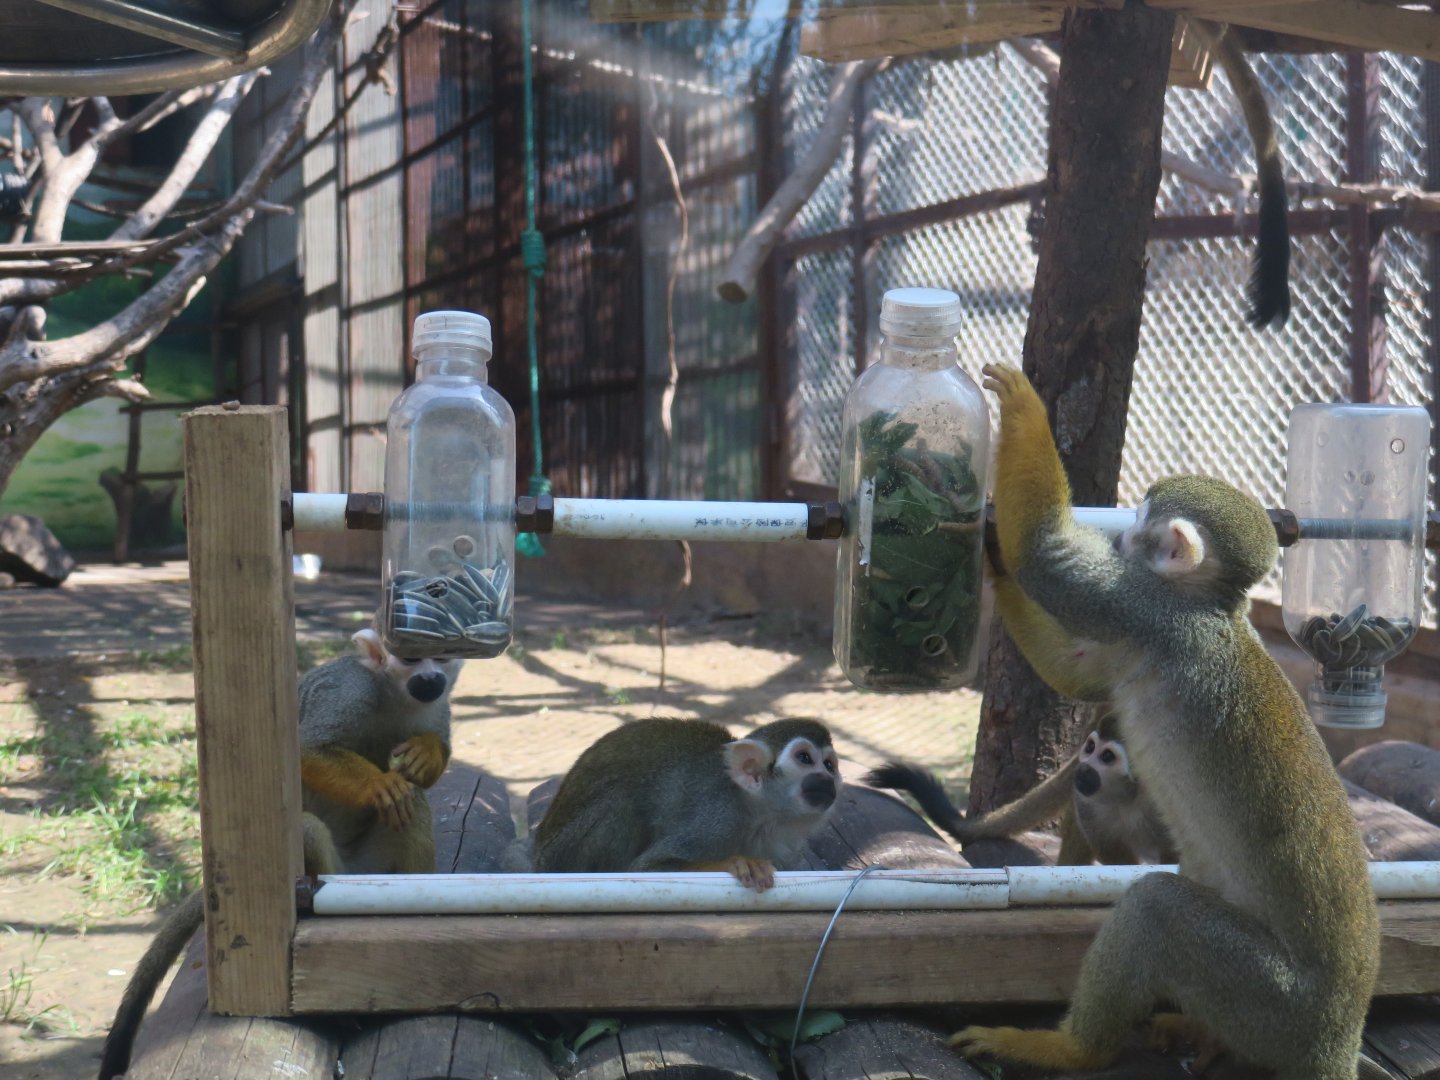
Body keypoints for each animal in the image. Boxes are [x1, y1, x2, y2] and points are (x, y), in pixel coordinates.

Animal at [99, 628, 461, 1080]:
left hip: (374, 868)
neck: (397, 696)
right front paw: (376, 785)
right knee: (308, 828)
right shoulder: (349, 691)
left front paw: (428, 752)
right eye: (410, 660)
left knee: (412, 807)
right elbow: (305, 749)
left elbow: (425, 772)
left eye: (443, 658)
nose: (431, 680)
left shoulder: (438, 707)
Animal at [525, 717, 839, 892]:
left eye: (828, 764)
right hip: (564, 854)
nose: (826, 779)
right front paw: (735, 863)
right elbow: (645, 870)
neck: (756, 811)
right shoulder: (716, 818)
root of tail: (539, 859)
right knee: (621, 800)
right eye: (804, 759)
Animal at [865, 711, 1176, 867]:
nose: (1084, 767)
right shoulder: (1087, 801)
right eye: (1090, 748)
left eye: (1108, 757)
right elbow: (1111, 853)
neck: (1128, 794)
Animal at [949, 365, 1378, 1080]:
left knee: (1157, 909)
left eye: (1138, 527)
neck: (1208, 607)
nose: (1120, 536)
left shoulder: (1146, 609)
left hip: (1275, 1002)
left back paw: (1069, 1048)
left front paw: (1025, 406)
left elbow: (1046, 556)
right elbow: (1075, 674)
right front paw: (992, 560)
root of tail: (1338, 1040)